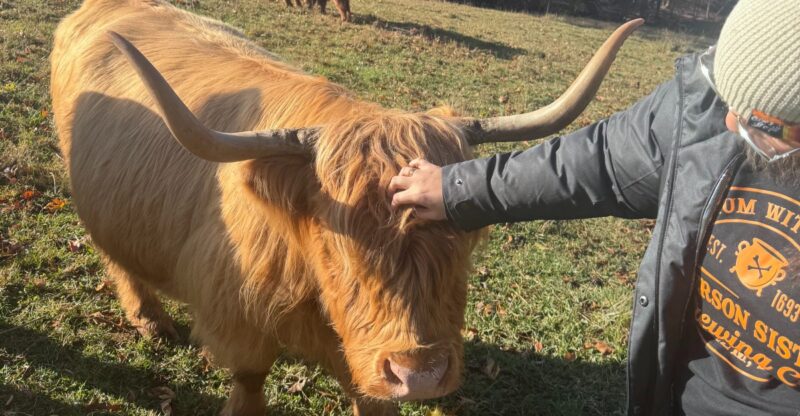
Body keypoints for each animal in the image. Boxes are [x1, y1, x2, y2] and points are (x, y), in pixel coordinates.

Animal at [50, 0, 641, 414]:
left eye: (462, 237)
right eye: (339, 243)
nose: (420, 373)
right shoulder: (238, 315)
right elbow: (249, 379)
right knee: (118, 257)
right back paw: (150, 321)